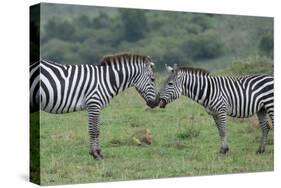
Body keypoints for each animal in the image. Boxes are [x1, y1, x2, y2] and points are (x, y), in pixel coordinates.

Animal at [30, 53, 160, 160]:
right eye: (153, 79)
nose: (156, 103)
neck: (107, 80)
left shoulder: (96, 107)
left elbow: (97, 129)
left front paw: (98, 153)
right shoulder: (93, 104)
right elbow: (94, 131)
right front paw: (95, 154)